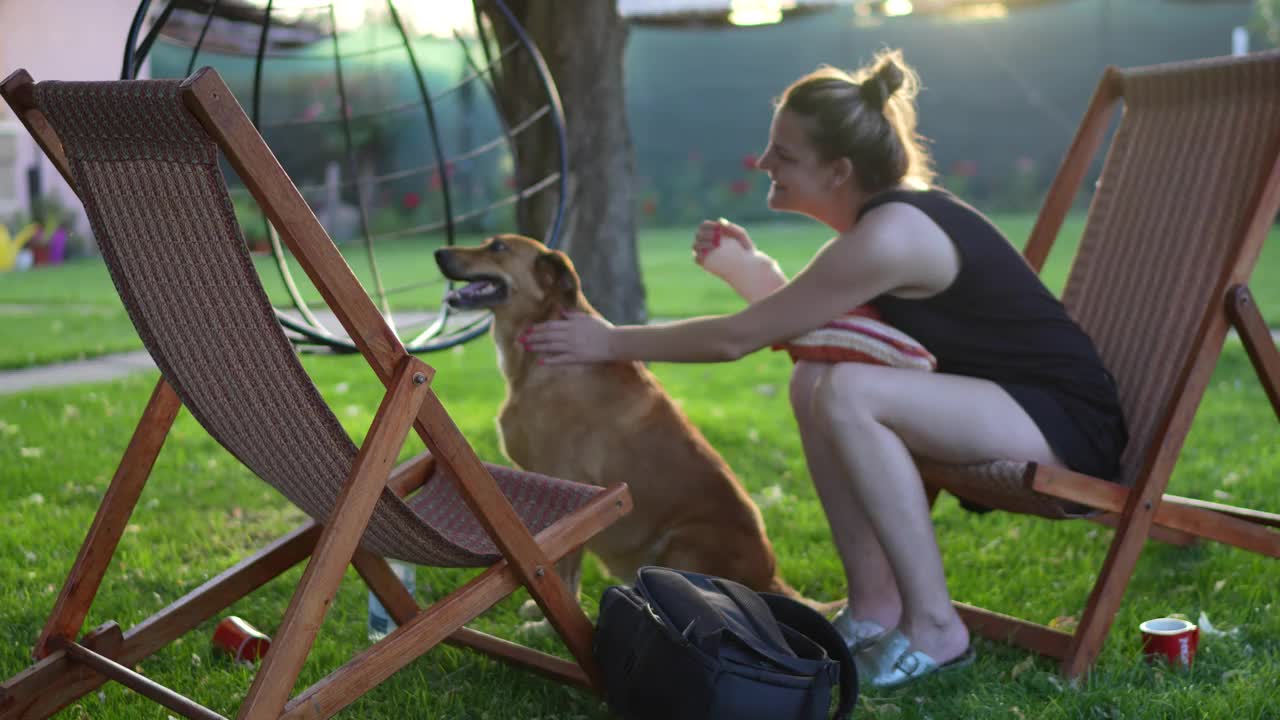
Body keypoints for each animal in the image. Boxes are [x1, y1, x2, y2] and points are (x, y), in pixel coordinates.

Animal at [435, 233, 824, 602]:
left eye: (498, 247)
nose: (439, 252)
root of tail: (773, 578)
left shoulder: (569, 488)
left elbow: (564, 571)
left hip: (683, 540)